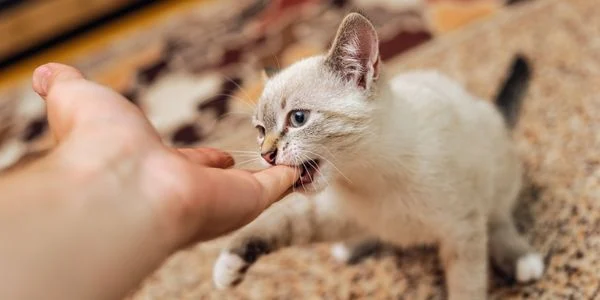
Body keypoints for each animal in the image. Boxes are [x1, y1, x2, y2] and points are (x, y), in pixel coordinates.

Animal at [212, 12, 544, 300]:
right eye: (260, 130)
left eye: (298, 118)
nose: (266, 154)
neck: (367, 175)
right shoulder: (330, 210)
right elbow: (278, 224)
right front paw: (228, 265)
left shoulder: (462, 228)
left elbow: (467, 285)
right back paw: (351, 246)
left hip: (495, 175)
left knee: (498, 217)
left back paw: (522, 260)